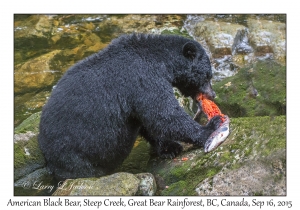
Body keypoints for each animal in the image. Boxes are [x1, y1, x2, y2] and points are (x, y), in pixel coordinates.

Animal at [37, 33, 221, 180]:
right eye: (208, 76)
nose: (212, 94)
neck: (161, 60)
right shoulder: (143, 79)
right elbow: (163, 114)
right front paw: (211, 127)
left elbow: (148, 122)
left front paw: (169, 147)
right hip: (73, 153)